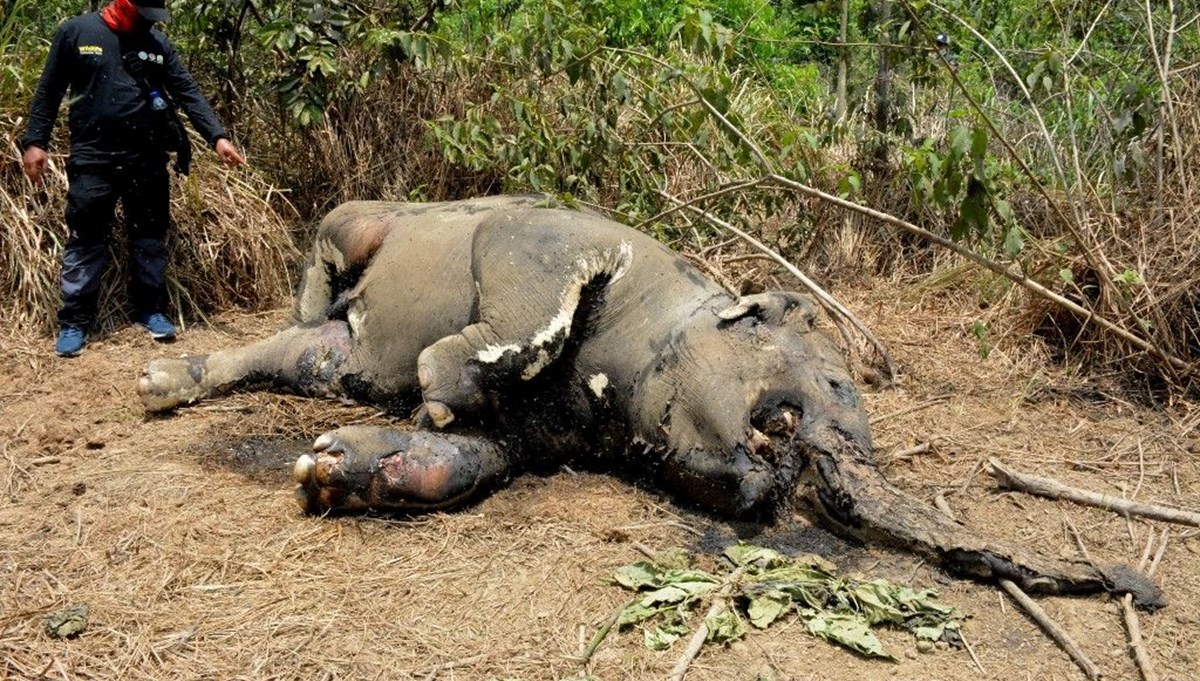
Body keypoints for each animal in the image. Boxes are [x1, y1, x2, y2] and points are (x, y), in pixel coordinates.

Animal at [138, 194, 1161, 609]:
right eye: (835, 385)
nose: (1140, 587)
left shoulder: (544, 432)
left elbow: (474, 455)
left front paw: (346, 465)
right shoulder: (550, 242)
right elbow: (522, 308)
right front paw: (435, 384)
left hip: (326, 357)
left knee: (297, 351)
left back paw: (167, 381)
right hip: (371, 222)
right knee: (330, 243)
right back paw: (303, 300)